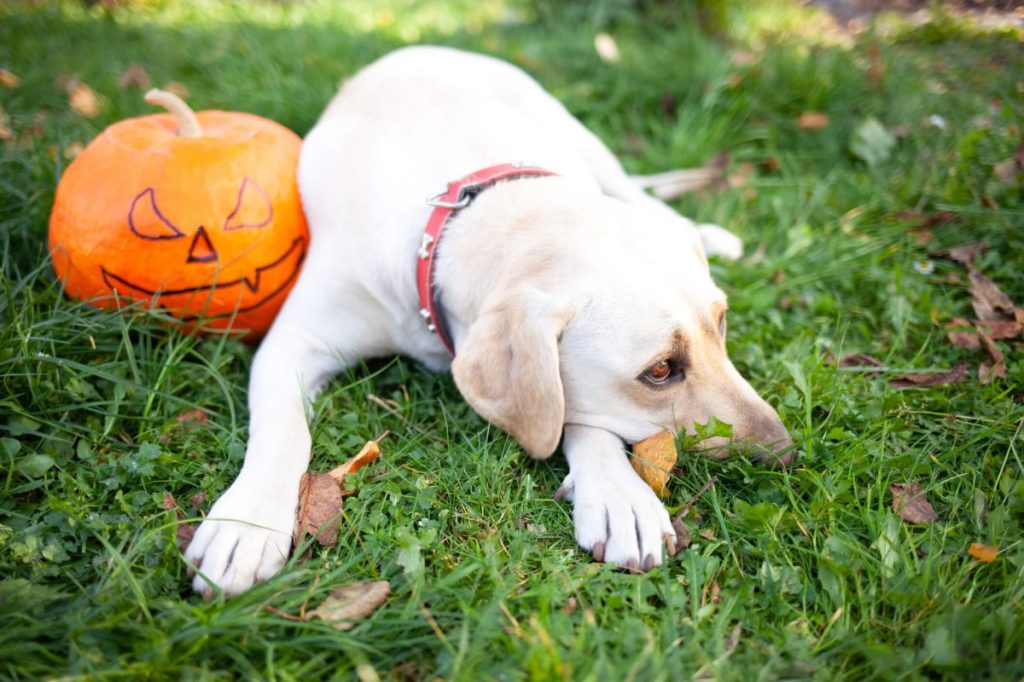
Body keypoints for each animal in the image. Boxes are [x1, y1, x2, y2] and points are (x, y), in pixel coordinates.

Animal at [184, 45, 790, 593]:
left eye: (722, 325)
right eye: (660, 370)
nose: (785, 453)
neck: (475, 218)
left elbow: (573, 415)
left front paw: (617, 494)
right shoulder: (293, 341)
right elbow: (283, 431)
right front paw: (247, 521)